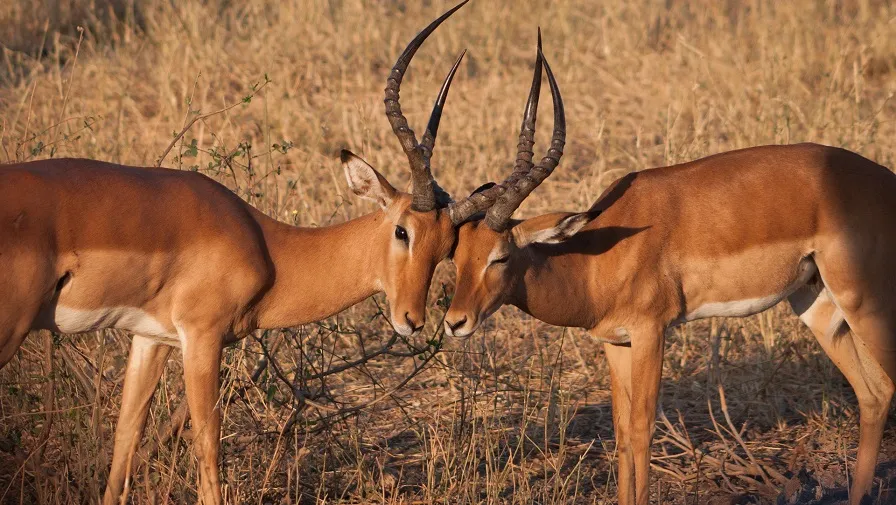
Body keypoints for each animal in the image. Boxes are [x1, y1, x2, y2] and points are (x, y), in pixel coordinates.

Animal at [0, 2, 513, 503]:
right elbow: (208, 449)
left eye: (446, 248)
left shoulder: (150, 338)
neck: (266, 246)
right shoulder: (202, 338)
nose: (412, 319)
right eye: (402, 231)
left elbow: (124, 447)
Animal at [444, 41, 896, 503]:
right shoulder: (615, 342)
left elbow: (642, 429)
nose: (455, 322)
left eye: (499, 257)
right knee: (874, 394)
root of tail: (885, 180)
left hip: (868, 302)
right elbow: (622, 433)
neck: (595, 260)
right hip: (818, 307)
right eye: (456, 256)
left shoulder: (651, 331)